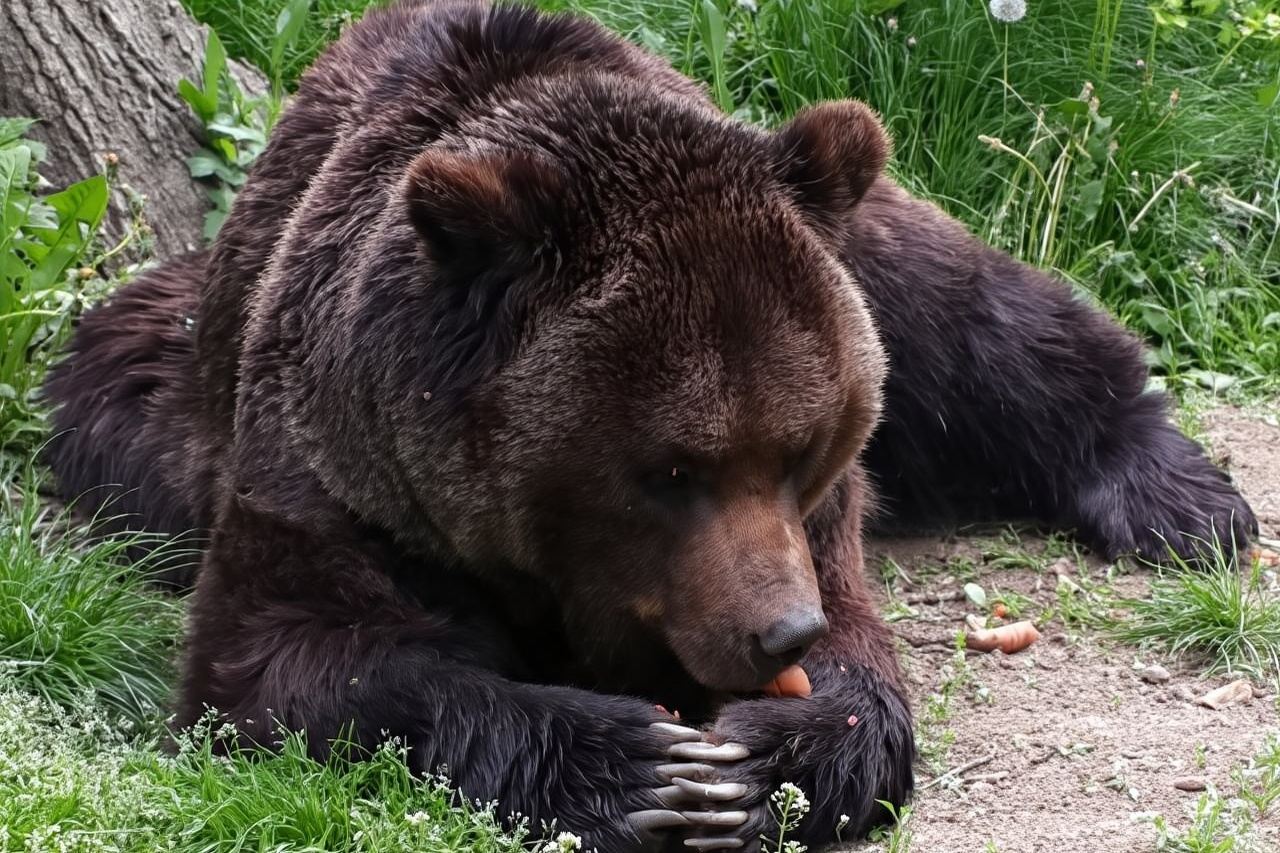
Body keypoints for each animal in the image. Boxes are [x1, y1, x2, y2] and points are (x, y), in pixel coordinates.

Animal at [44, 0, 1256, 850]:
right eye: (670, 469)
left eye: (800, 447)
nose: (782, 634)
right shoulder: (339, 472)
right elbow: (288, 657)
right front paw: (641, 764)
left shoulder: (821, 521)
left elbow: (863, 672)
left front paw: (766, 761)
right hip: (154, 404)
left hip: (860, 237)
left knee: (974, 315)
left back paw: (1181, 498)